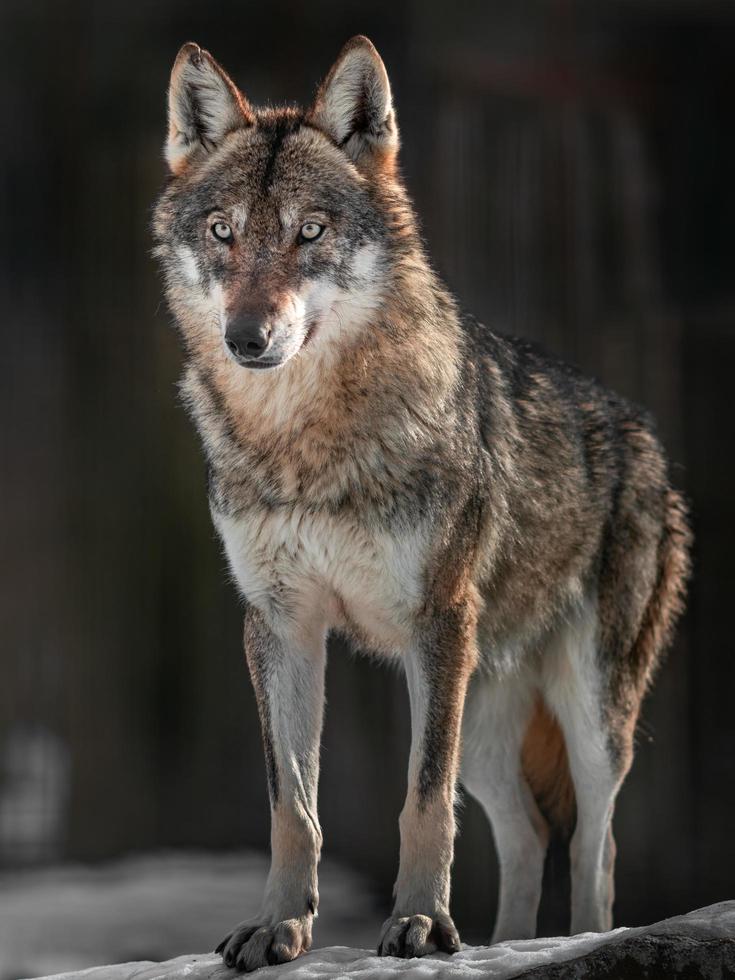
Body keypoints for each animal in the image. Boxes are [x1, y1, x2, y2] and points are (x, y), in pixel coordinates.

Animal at [152, 34, 692, 968]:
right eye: (223, 233)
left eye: (310, 232)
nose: (246, 338)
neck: (304, 445)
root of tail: (641, 430)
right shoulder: (280, 625)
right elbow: (292, 806)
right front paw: (278, 926)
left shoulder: (437, 619)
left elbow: (421, 799)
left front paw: (418, 924)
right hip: (482, 705)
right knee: (526, 834)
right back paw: (499, 948)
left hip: (581, 707)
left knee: (595, 843)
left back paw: (574, 939)